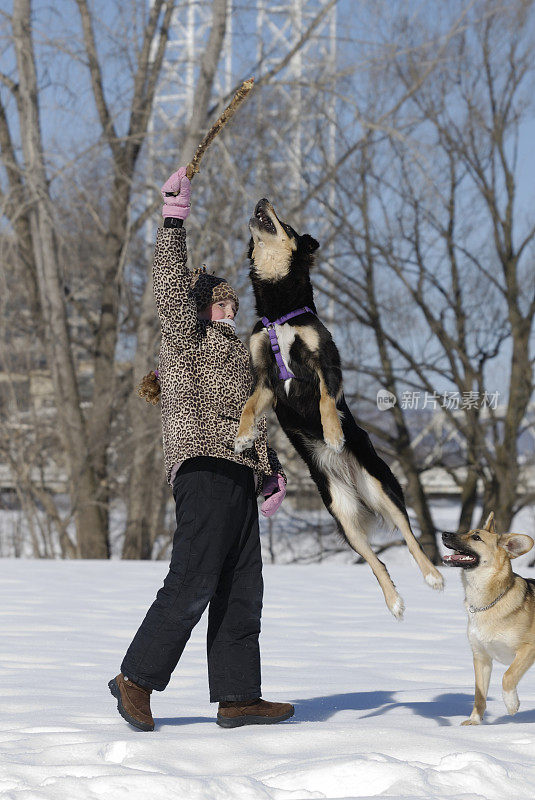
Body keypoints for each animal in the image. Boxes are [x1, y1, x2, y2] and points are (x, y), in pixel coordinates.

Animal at [234, 200, 444, 620]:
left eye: (287, 224)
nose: (261, 200)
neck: (278, 311)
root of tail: (351, 482)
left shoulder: (326, 363)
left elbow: (326, 401)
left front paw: (332, 433)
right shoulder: (264, 380)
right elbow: (249, 408)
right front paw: (244, 436)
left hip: (381, 485)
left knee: (410, 536)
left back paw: (432, 576)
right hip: (340, 511)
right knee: (377, 561)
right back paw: (393, 601)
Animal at [444, 512, 535, 724]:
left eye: (476, 537)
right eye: (468, 531)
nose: (444, 534)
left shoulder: (529, 648)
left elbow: (508, 676)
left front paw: (511, 704)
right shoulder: (481, 657)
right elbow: (479, 693)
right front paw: (475, 721)